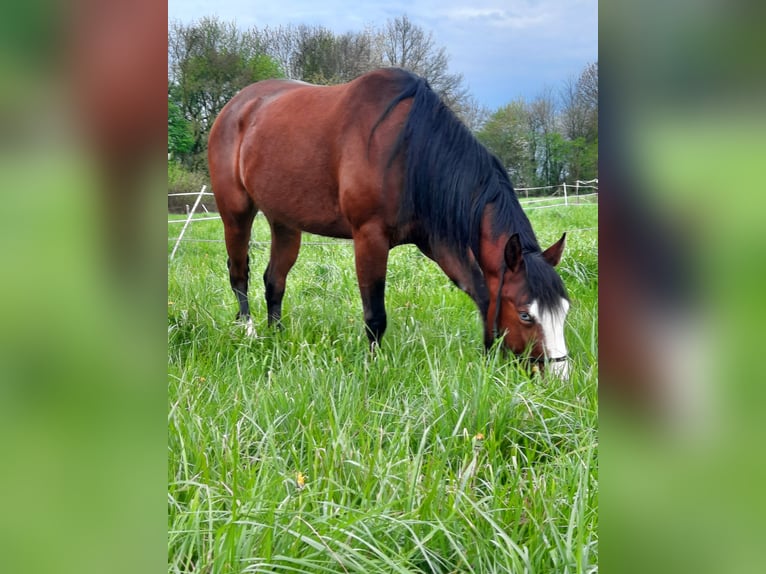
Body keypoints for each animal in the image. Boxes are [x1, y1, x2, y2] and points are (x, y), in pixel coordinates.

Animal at [208, 66, 568, 378]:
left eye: (564, 309)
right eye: (525, 314)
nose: (559, 377)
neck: (408, 151)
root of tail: (236, 106)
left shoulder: (437, 242)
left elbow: (481, 294)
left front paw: (490, 356)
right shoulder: (370, 237)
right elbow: (375, 314)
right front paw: (373, 367)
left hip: (284, 222)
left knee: (274, 280)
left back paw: (277, 337)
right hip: (236, 214)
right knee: (239, 273)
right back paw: (249, 332)